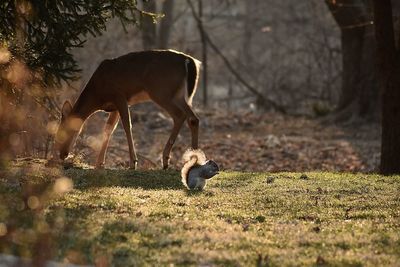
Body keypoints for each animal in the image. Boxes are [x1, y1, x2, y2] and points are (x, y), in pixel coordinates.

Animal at [53, 50, 202, 170]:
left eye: (64, 131)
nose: (62, 154)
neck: (98, 94)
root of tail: (188, 61)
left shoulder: (119, 96)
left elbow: (126, 125)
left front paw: (133, 162)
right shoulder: (114, 106)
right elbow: (108, 129)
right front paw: (99, 163)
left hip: (161, 91)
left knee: (179, 115)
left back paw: (166, 160)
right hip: (179, 95)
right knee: (193, 118)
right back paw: (195, 157)